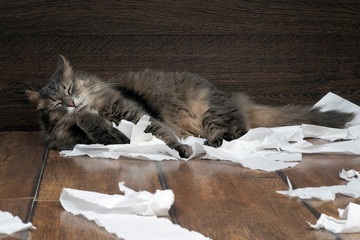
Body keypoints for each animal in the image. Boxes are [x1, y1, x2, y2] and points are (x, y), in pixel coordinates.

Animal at [26, 55, 354, 158]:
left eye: (70, 88)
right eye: (57, 103)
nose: (71, 103)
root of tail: (234, 97)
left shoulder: (139, 116)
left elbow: (165, 135)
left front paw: (182, 150)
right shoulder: (105, 136)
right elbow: (100, 130)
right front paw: (83, 116)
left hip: (208, 111)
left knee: (234, 129)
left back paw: (212, 142)